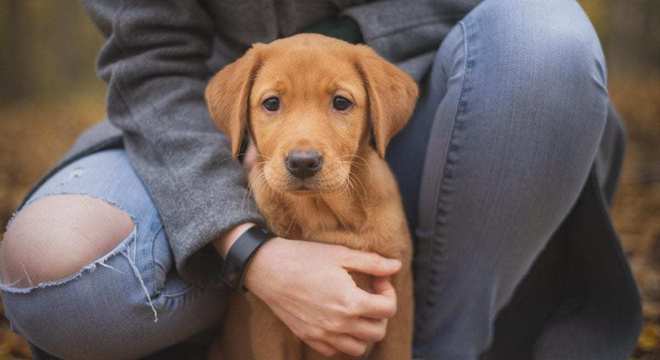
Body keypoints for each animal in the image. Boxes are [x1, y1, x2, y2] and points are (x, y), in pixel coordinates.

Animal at [205, 33, 418, 360]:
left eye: (341, 102)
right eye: (272, 103)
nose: (302, 162)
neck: (326, 216)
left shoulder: (399, 303)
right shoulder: (270, 321)